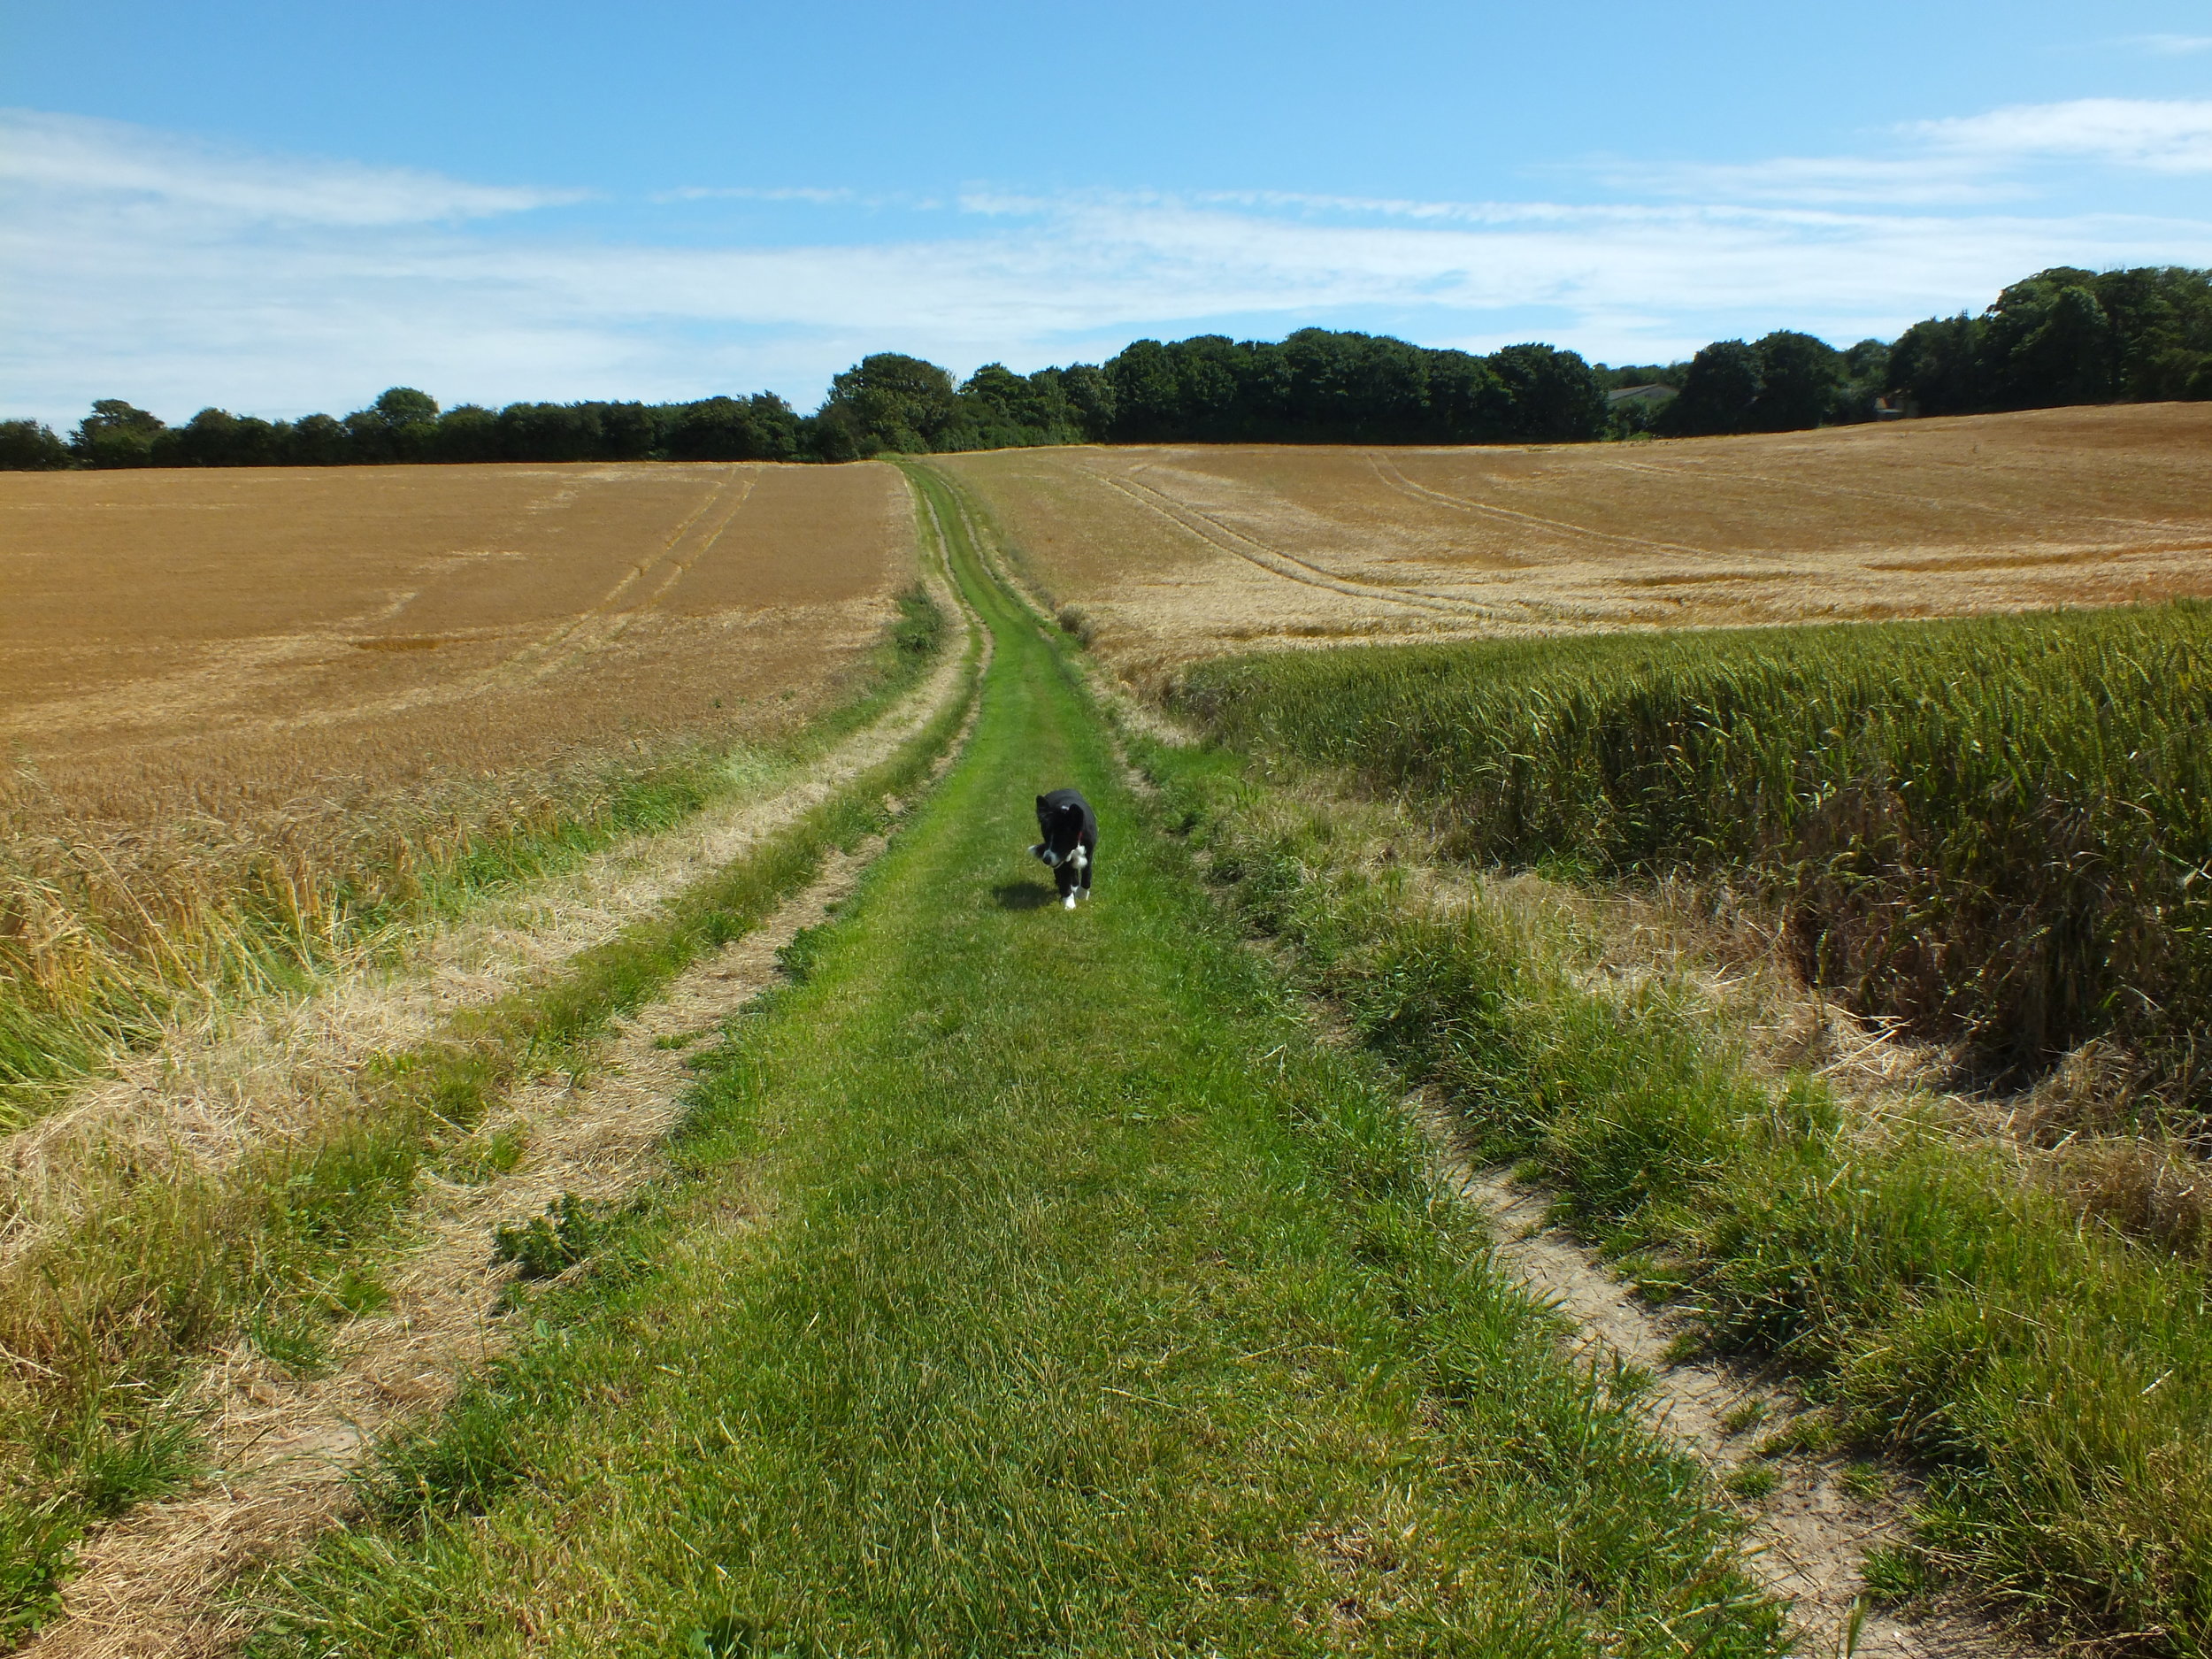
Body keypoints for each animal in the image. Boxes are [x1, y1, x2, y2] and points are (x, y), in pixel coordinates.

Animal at [1035, 787, 1106, 916]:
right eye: (1046, 838)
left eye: (1061, 839)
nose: (1046, 860)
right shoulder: (1060, 862)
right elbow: (1064, 880)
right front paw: (1069, 905)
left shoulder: (1089, 851)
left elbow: (1087, 874)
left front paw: (1082, 895)